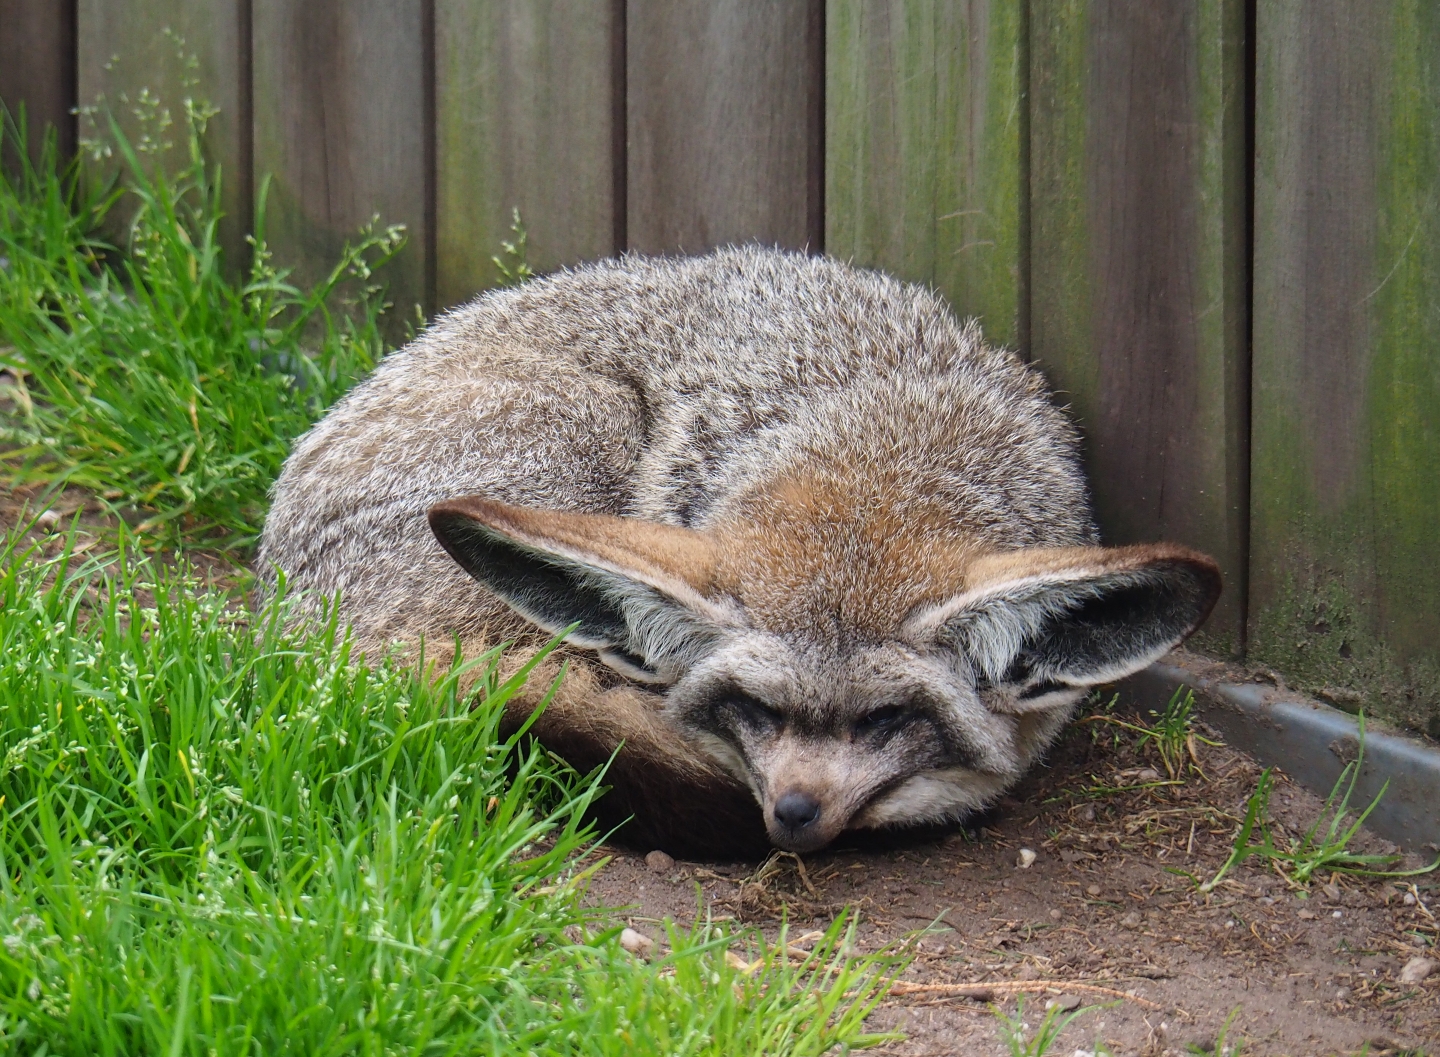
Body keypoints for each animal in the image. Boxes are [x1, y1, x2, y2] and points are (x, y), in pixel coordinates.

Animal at [258, 246, 1220, 858]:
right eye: (752, 708)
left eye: (885, 719)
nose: (791, 811)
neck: (880, 450)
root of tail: (283, 612)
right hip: (587, 433)